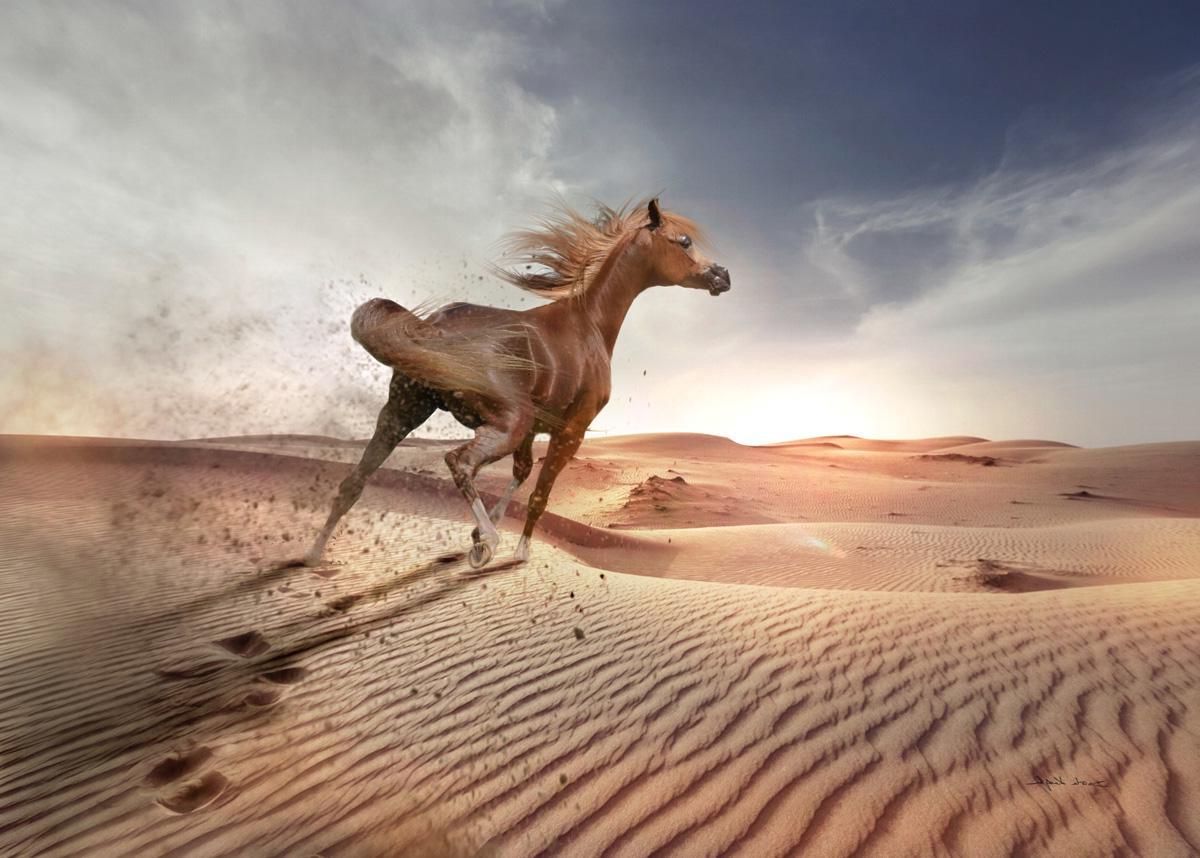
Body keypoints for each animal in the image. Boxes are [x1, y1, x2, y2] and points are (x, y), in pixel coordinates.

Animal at [299, 197, 731, 569]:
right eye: (684, 241)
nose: (722, 276)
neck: (588, 322)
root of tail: (434, 326)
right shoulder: (569, 431)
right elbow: (540, 493)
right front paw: (512, 549)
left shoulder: (534, 430)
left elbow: (521, 473)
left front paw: (479, 533)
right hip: (505, 424)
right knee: (459, 462)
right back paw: (489, 545)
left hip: (403, 412)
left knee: (355, 480)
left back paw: (315, 555)